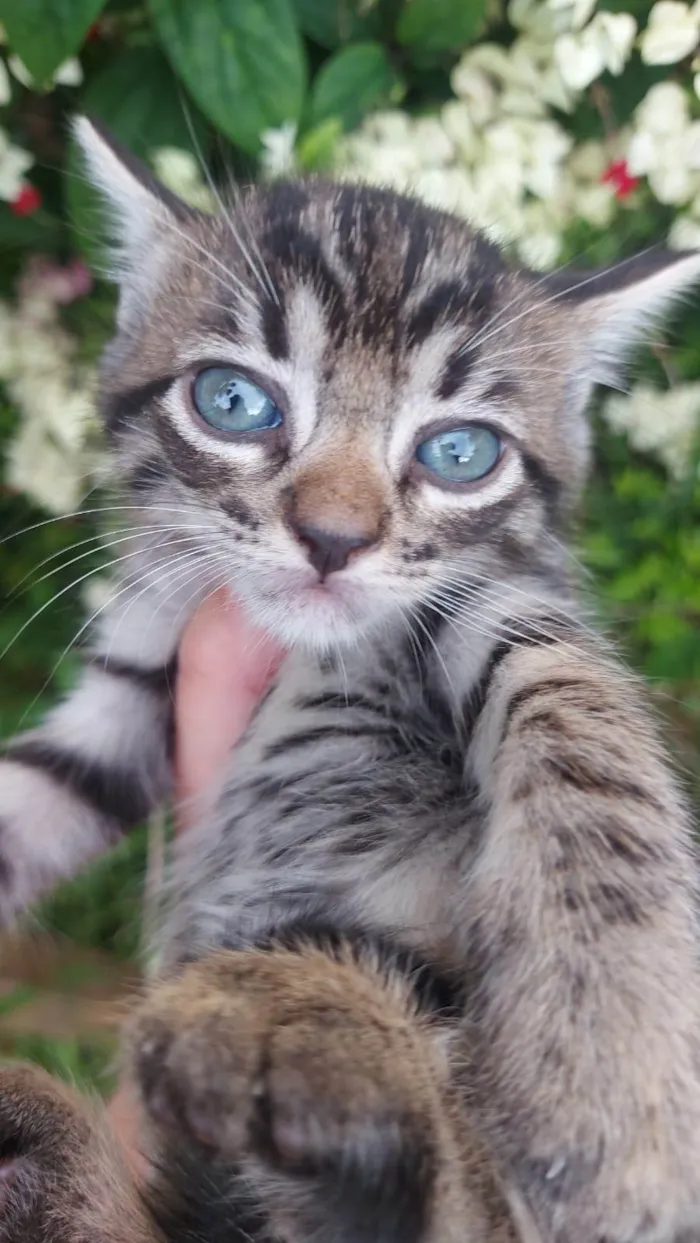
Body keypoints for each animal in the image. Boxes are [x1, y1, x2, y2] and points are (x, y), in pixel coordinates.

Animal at [1, 114, 700, 1233]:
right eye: (233, 400)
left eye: (459, 452)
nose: (332, 537)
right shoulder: (137, 680)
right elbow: (35, 788)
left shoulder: (502, 595)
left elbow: (574, 717)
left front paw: (613, 1068)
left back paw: (304, 1046)